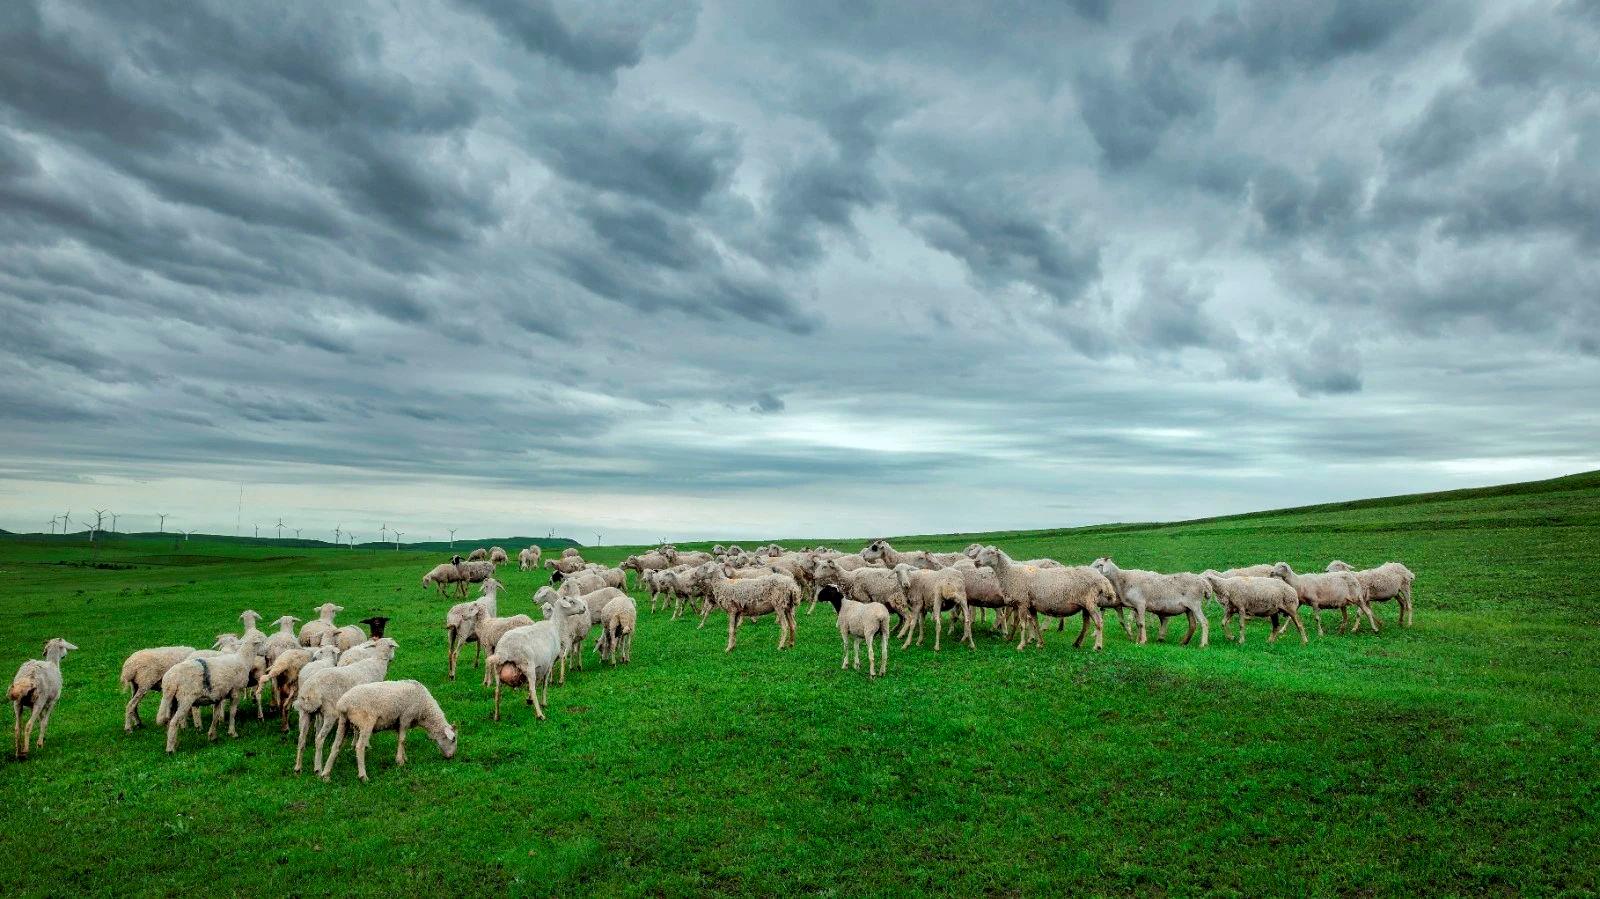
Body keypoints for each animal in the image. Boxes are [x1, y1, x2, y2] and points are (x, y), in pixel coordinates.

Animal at [294, 633, 396, 774]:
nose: (393, 658)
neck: (377, 663)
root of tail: (311, 690)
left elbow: (356, 728)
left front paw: (354, 744)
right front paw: (366, 744)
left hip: (306, 712)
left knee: (301, 739)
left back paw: (298, 768)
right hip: (330, 713)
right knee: (319, 739)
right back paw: (318, 768)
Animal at [318, 678, 457, 777]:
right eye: (454, 739)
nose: (451, 757)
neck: (425, 710)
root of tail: (343, 704)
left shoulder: (398, 723)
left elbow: (401, 740)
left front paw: (404, 757)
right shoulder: (406, 717)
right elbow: (402, 740)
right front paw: (400, 761)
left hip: (343, 722)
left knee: (335, 746)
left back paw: (325, 775)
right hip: (366, 723)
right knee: (359, 747)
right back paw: (363, 776)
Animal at [972, 543, 1113, 646]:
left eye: (991, 552)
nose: (976, 562)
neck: (1011, 574)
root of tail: (1102, 579)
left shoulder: (1022, 602)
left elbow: (1022, 624)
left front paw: (1021, 644)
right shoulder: (1024, 604)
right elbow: (1029, 623)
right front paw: (1036, 642)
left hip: (1090, 603)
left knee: (1099, 622)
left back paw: (1097, 646)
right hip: (1085, 605)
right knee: (1086, 624)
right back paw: (1077, 643)